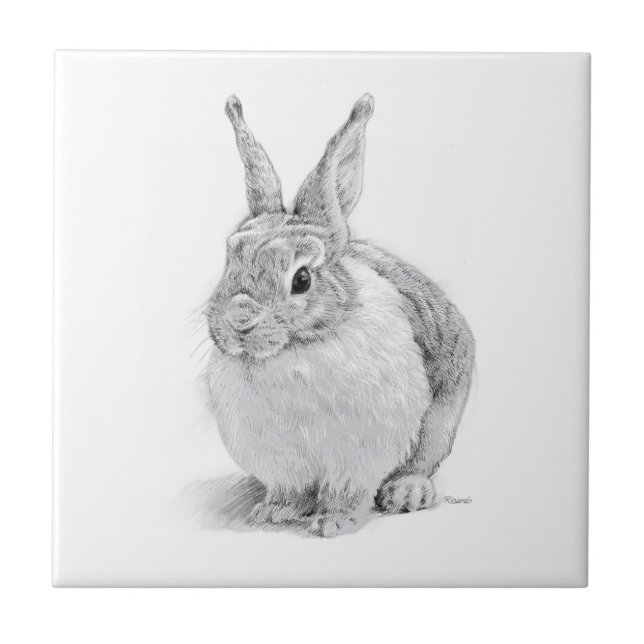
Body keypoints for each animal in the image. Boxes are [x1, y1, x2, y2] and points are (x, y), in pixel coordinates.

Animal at [206, 94, 474, 537]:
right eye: (229, 259)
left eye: (301, 279)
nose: (240, 322)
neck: (294, 351)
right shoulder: (280, 459)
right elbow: (290, 489)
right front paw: (274, 512)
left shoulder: (358, 453)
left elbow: (345, 490)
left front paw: (332, 522)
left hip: (441, 422)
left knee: (423, 461)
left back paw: (407, 493)